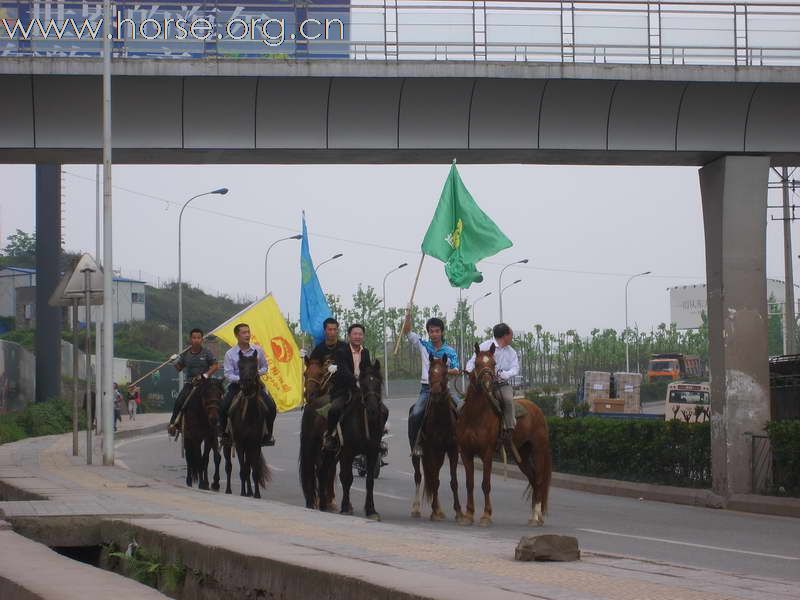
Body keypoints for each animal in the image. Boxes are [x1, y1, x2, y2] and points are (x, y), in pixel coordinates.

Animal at [225, 352, 272, 496]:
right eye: (240, 366)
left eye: (254, 366)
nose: (246, 383)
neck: (249, 416)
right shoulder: (240, 444)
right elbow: (243, 470)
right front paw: (243, 493)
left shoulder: (255, 444)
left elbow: (254, 470)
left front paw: (256, 494)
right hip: (227, 443)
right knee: (229, 466)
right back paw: (228, 489)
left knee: (248, 465)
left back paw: (250, 491)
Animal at [322, 360, 390, 520]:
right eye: (363, 384)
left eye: (378, 382)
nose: (372, 410)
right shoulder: (347, 452)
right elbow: (347, 478)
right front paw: (345, 507)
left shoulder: (372, 453)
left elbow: (370, 480)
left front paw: (371, 510)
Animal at [412, 356, 462, 520]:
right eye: (429, 371)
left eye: (445, 372)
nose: (435, 393)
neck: (441, 419)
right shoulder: (432, 449)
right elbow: (433, 479)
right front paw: (434, 510)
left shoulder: (452, 450)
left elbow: (453, 481)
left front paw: (459, 511)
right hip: (418, 454)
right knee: (419, 476)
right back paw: (416, 508)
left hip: (440, 455)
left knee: (435, 477)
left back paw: (439, 509)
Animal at [456, 344, 552, 528]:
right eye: (477, 363)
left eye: (493, 364)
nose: (487, 383)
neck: (475, 416)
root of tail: (537, 409)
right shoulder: (465, 453)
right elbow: (470, 484)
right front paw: (468, 515)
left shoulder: (487, 453)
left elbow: (485, 484)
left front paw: (486, 515)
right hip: (521, 455)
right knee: (533, 478)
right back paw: (534, 516)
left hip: (539, 451)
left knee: (539, 480)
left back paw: (536, 517)